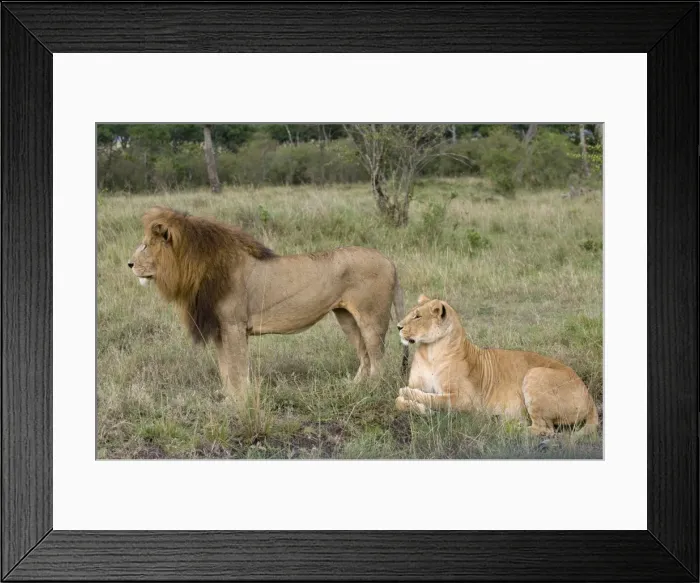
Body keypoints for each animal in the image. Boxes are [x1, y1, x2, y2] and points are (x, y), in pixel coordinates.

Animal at [128, 206, 408, 403]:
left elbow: (238, 367)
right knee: (364, 355)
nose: (129, 264)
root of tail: (390, 261)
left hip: (372, 318)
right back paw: (354, 387)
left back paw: (371, 390)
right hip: (346, 318)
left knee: (378, 357)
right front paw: (228, 398)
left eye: (147, 245)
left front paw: (240, 400)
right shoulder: (220, 329)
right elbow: (225, 368)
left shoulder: (234, 326)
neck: (197, 270)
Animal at [394, 295, 599, 439]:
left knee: (545, 429)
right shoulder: (418, 383)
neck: (430, 352)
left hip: (535, 374)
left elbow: (433, 398)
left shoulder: (466, 400)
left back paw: (506, 427)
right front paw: (421, 409)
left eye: (417, 316)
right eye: (411, 312)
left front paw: (418, 402)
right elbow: (398, 401)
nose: (398, 327)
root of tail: (589, 397)